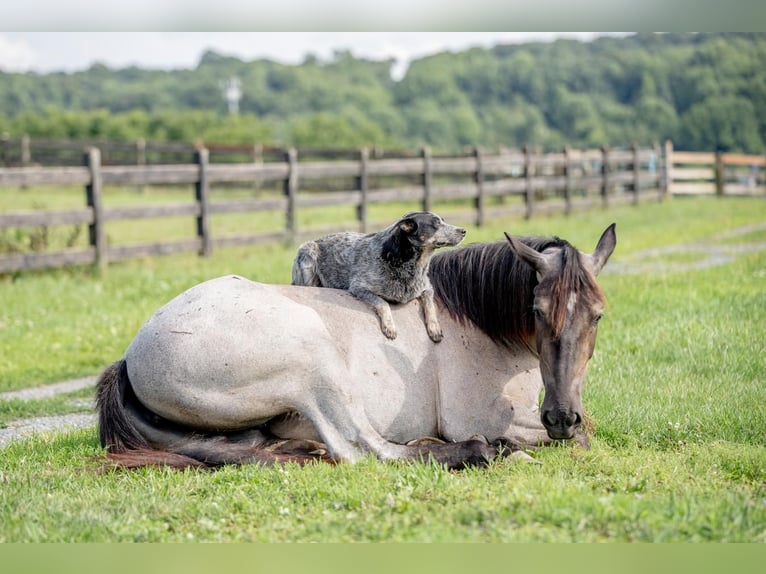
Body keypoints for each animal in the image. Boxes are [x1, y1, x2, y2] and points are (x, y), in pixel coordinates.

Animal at [292, 214, 464, 344]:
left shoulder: (427, 286)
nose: (463, 230)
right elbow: (383, 303)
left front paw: (434, 328)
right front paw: (390, 326)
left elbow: (429, 303)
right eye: (436, 224)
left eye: (443, 220)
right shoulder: (359, 287)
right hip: (308, 256)